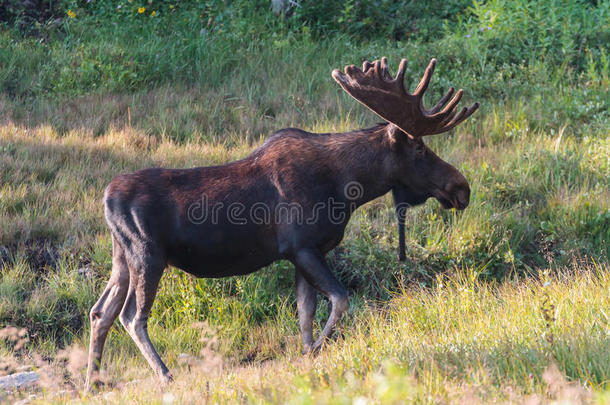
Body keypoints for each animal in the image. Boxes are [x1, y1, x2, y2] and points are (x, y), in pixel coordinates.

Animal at [85, 56, 478, 388]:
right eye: (420, 149)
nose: (462, 187)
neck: (347, 186)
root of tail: (106, 199)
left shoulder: (305, 252)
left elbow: (306, 313)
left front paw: (307, 356)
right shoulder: (301, 246)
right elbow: (340, 299)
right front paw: (315, 351)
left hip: (121, 256)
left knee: (100, 311)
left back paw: (93, 382)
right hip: (147, 254)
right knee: (132, 316)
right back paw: (165, 375)